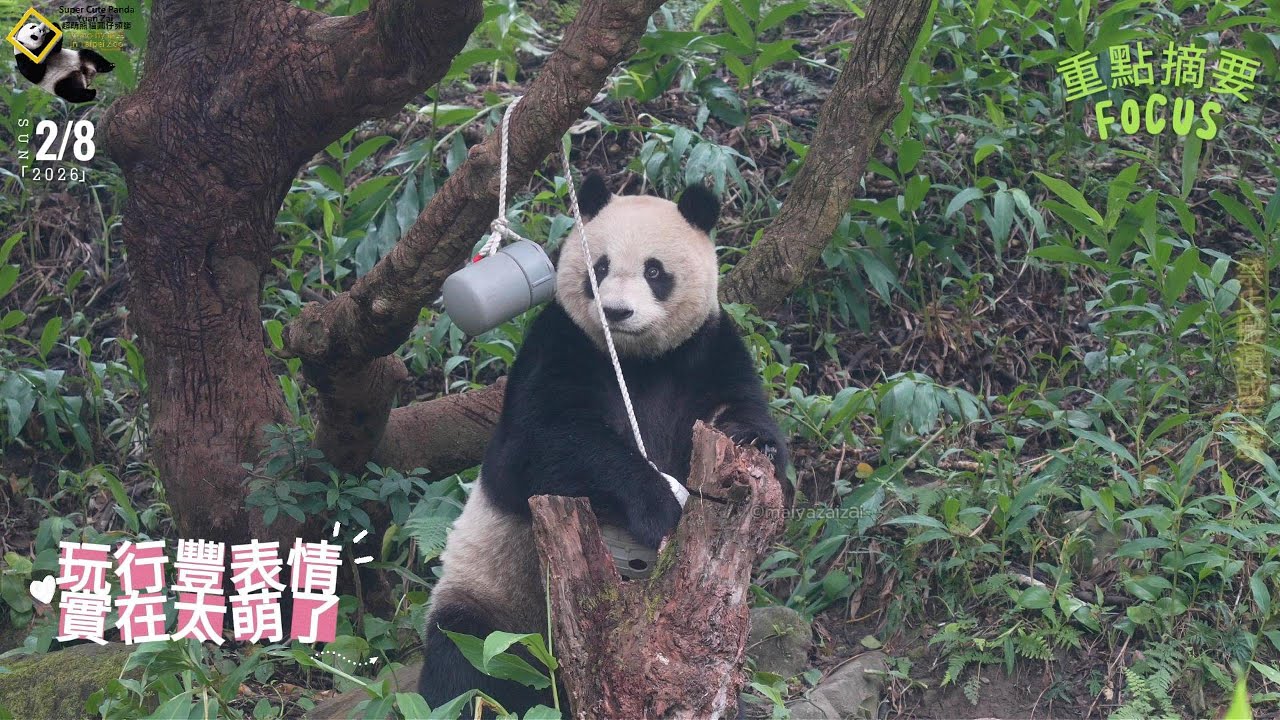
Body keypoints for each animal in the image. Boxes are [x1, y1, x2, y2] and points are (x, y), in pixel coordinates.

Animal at [418, 173, 789, 715]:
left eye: (655, 270)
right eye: (601, 267)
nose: (616, 311)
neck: (638, 360)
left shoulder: (709, 349)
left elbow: (738, 409)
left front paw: (756, 450)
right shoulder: (561, 346)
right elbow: (535, 448)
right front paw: (659, 506)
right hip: (488, 601)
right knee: (463, 664)